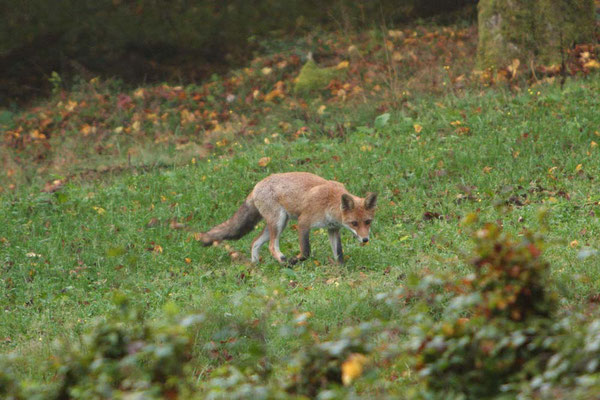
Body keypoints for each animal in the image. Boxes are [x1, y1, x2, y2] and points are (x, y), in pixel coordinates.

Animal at [198, 170, 376, 264]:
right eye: (354, 223)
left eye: (367, 222)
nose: (365, 240)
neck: (329, 202)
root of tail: (256, 186)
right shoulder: (304, 223)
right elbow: (306, 251)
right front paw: (295, 260)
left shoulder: (333, 229)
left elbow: (338, 253)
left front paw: (341, 269)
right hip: (279, 222)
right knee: (271, 246)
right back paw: (283, 261)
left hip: (278, 224)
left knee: (254, 242)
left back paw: (255, 265)